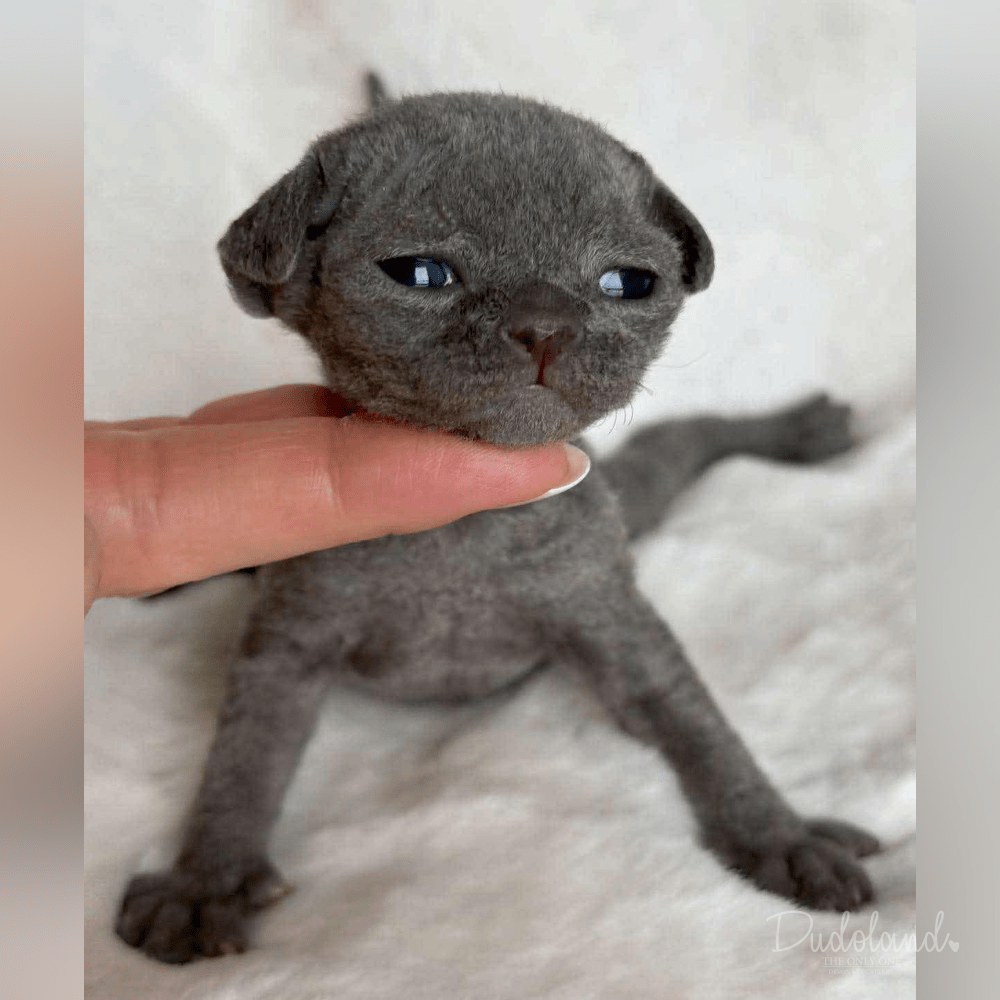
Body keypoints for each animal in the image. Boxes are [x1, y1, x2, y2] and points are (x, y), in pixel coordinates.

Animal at [116, 75, 880, 964]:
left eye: (627, 284)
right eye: (420, 273)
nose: (547, 321)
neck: (464, 535)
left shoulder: (612, 619)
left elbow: (702, 729)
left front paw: (781, 837)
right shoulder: (289, 637)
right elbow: (244, 760)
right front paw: (204, 882)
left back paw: (798, 430)